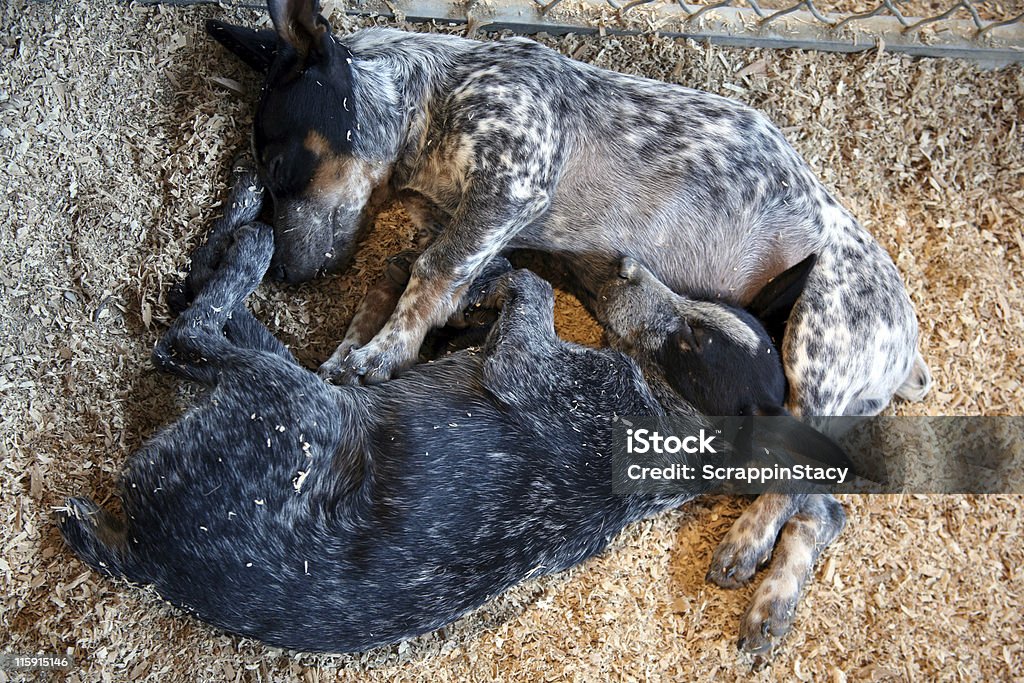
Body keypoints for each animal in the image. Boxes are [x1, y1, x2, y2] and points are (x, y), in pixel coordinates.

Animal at [58, 174, 839, 655]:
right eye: (696, 322)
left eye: (691, 342)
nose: (622, 268)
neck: (667, 417)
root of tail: (149, 558)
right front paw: (468, 292)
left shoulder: (525, 365)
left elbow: (527, 294)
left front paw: (488, 283)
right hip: (304, 384)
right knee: (219, 310)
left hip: (290, 402)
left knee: (187, 336)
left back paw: (250, 242)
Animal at [205, 0, 929, 651]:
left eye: (278, 165)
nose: (286, 272)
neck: (434, 104)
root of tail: (908, 356)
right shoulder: (444, 219)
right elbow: (398, 274)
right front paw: (354, 349)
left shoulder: (510, 184)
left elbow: (432, 273)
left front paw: (382, 352)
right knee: (826, 507)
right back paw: (770, 604)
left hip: (818, 348)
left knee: (802, 478)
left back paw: (746, 549)